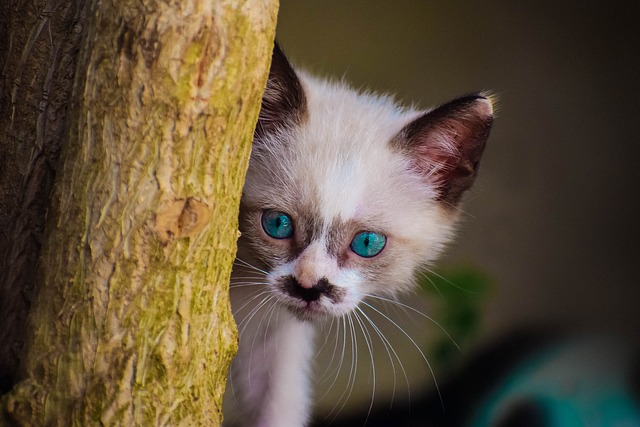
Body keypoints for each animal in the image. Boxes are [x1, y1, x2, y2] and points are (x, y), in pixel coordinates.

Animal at [225, 41, 496, 427]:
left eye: (367, 243)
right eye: (277, 224)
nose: (309, 287)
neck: (242, 292)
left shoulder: (271, 343)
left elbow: (277, 406)